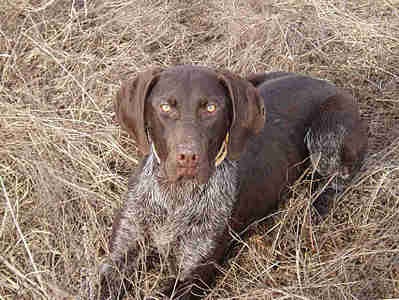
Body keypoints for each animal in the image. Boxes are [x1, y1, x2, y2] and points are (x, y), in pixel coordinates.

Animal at [90, 65, 368, 298]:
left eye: (211, 108)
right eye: (165, 107)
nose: (188, 157)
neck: (175, 196)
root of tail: (327, 83)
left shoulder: (192, 274)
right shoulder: (120, 255)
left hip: (327, 137)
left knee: (339, 177)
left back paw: (312, 208)